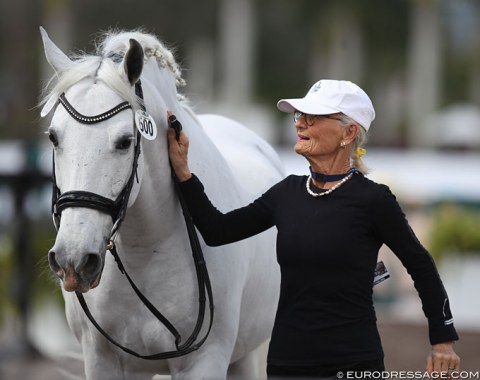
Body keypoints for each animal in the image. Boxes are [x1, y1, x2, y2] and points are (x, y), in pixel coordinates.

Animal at [40, 27, 284, 380]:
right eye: (54, 137)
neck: (148, 247)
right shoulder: (103, 360)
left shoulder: (205, 360)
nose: (73, 259)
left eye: (125, 141)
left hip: (244, 355)